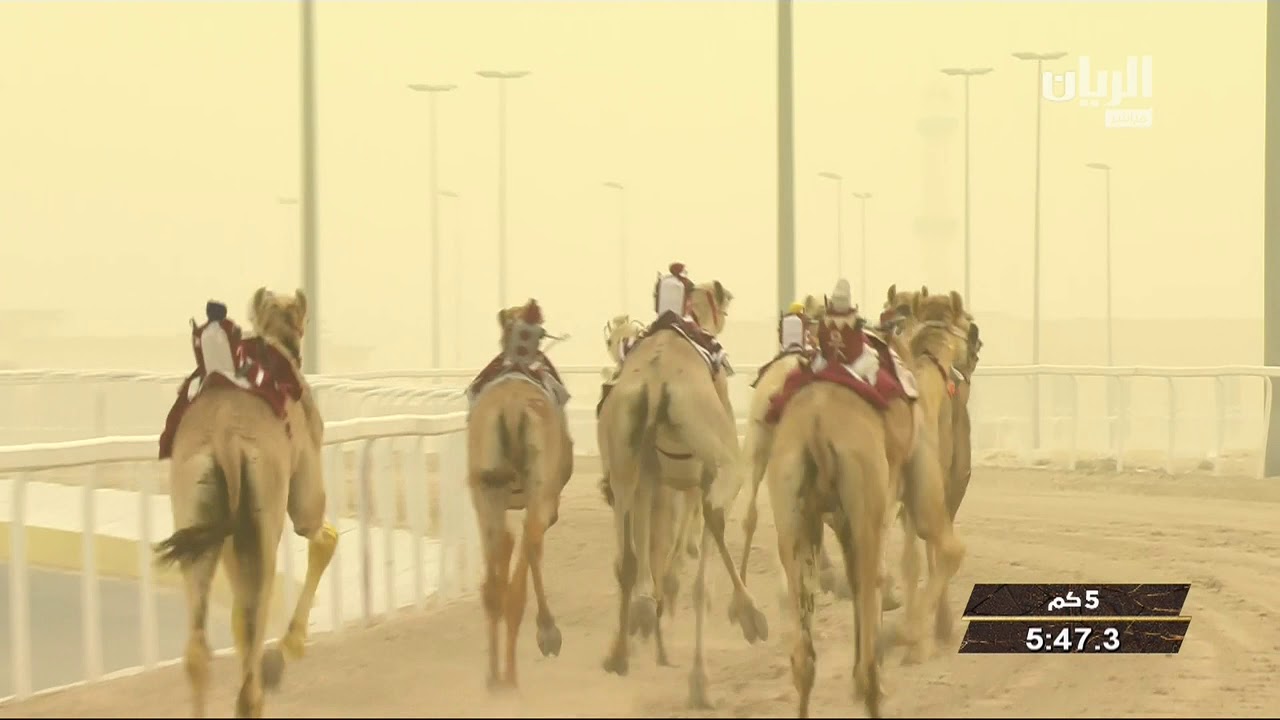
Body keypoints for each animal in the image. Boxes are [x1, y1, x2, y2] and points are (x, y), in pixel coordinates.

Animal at [153, 287, 338, 719]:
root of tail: (224, 439)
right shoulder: (304, 486)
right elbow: (323, 536)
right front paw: (288, 649)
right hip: (264, 516)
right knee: (249, 659)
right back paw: (266, 674)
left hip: (196, 512)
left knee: (199, 649)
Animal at [466, 300, 573, 690]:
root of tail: (511, 409)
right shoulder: (547, 499)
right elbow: (532, 547)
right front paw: (548, 635)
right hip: (538, 489)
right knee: (524, 543)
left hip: (484, 487)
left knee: (495, 575)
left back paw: (495, 678)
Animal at [597, 277, 768, 708]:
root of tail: (657, 382)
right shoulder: (698, 478)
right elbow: (692, 570)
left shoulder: (653, 480)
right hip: (719, 459)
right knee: (710, 528)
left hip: (625, 459)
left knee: (628, 560)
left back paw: (621, 650)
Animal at [763, 285, 891, 718]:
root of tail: (817, 429)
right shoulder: (862, 519)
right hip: (864, 513)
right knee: (867, 659)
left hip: (792, 518)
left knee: (802, 657)